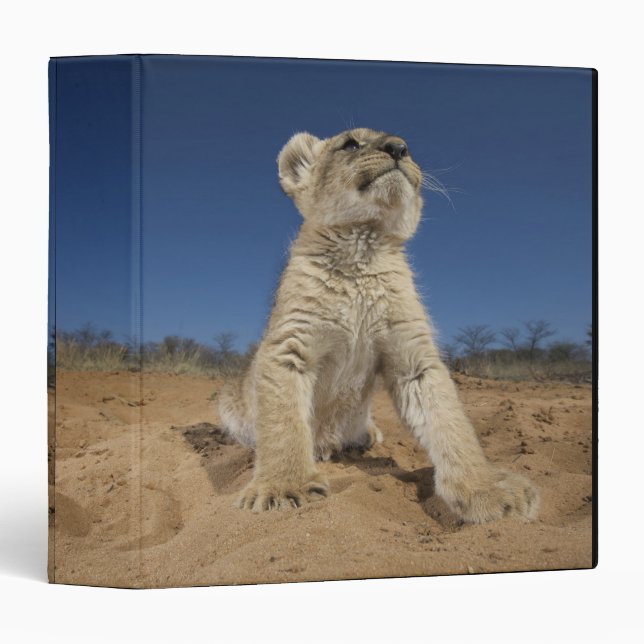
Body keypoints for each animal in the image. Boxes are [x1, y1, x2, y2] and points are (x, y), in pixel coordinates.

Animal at [218, 127, 539, 523]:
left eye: (407, 146)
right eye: (350, 144)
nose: (399, 148)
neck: (363, 245)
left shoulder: (414, 357)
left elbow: (452, 423)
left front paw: (487, 488)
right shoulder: (288, 347)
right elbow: (283, 425)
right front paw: (283, 487)